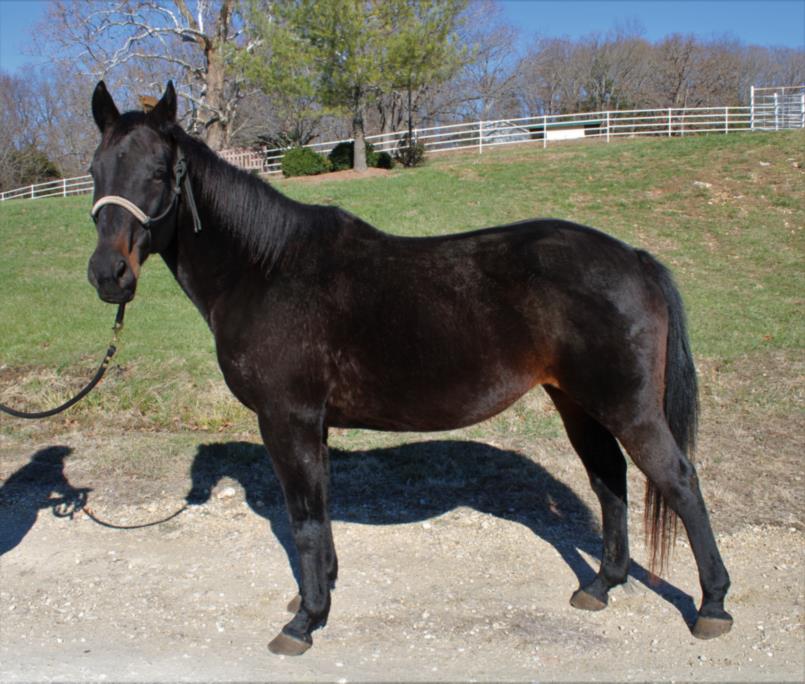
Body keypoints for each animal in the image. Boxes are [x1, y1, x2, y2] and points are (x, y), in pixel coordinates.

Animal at [86, 83, 728, 656]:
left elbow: (304, 520)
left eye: (160, 173)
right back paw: (601, 585)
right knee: (609, 480)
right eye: (94, 171)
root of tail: (634, 259)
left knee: (679, 481)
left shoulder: (286, 420)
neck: (266, 269)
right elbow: (320, 511)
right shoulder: (312, 425)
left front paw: (305, 623)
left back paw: (712, 606)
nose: (107, 276)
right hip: (577, 402)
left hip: (628, 407)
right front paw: (318, 596)